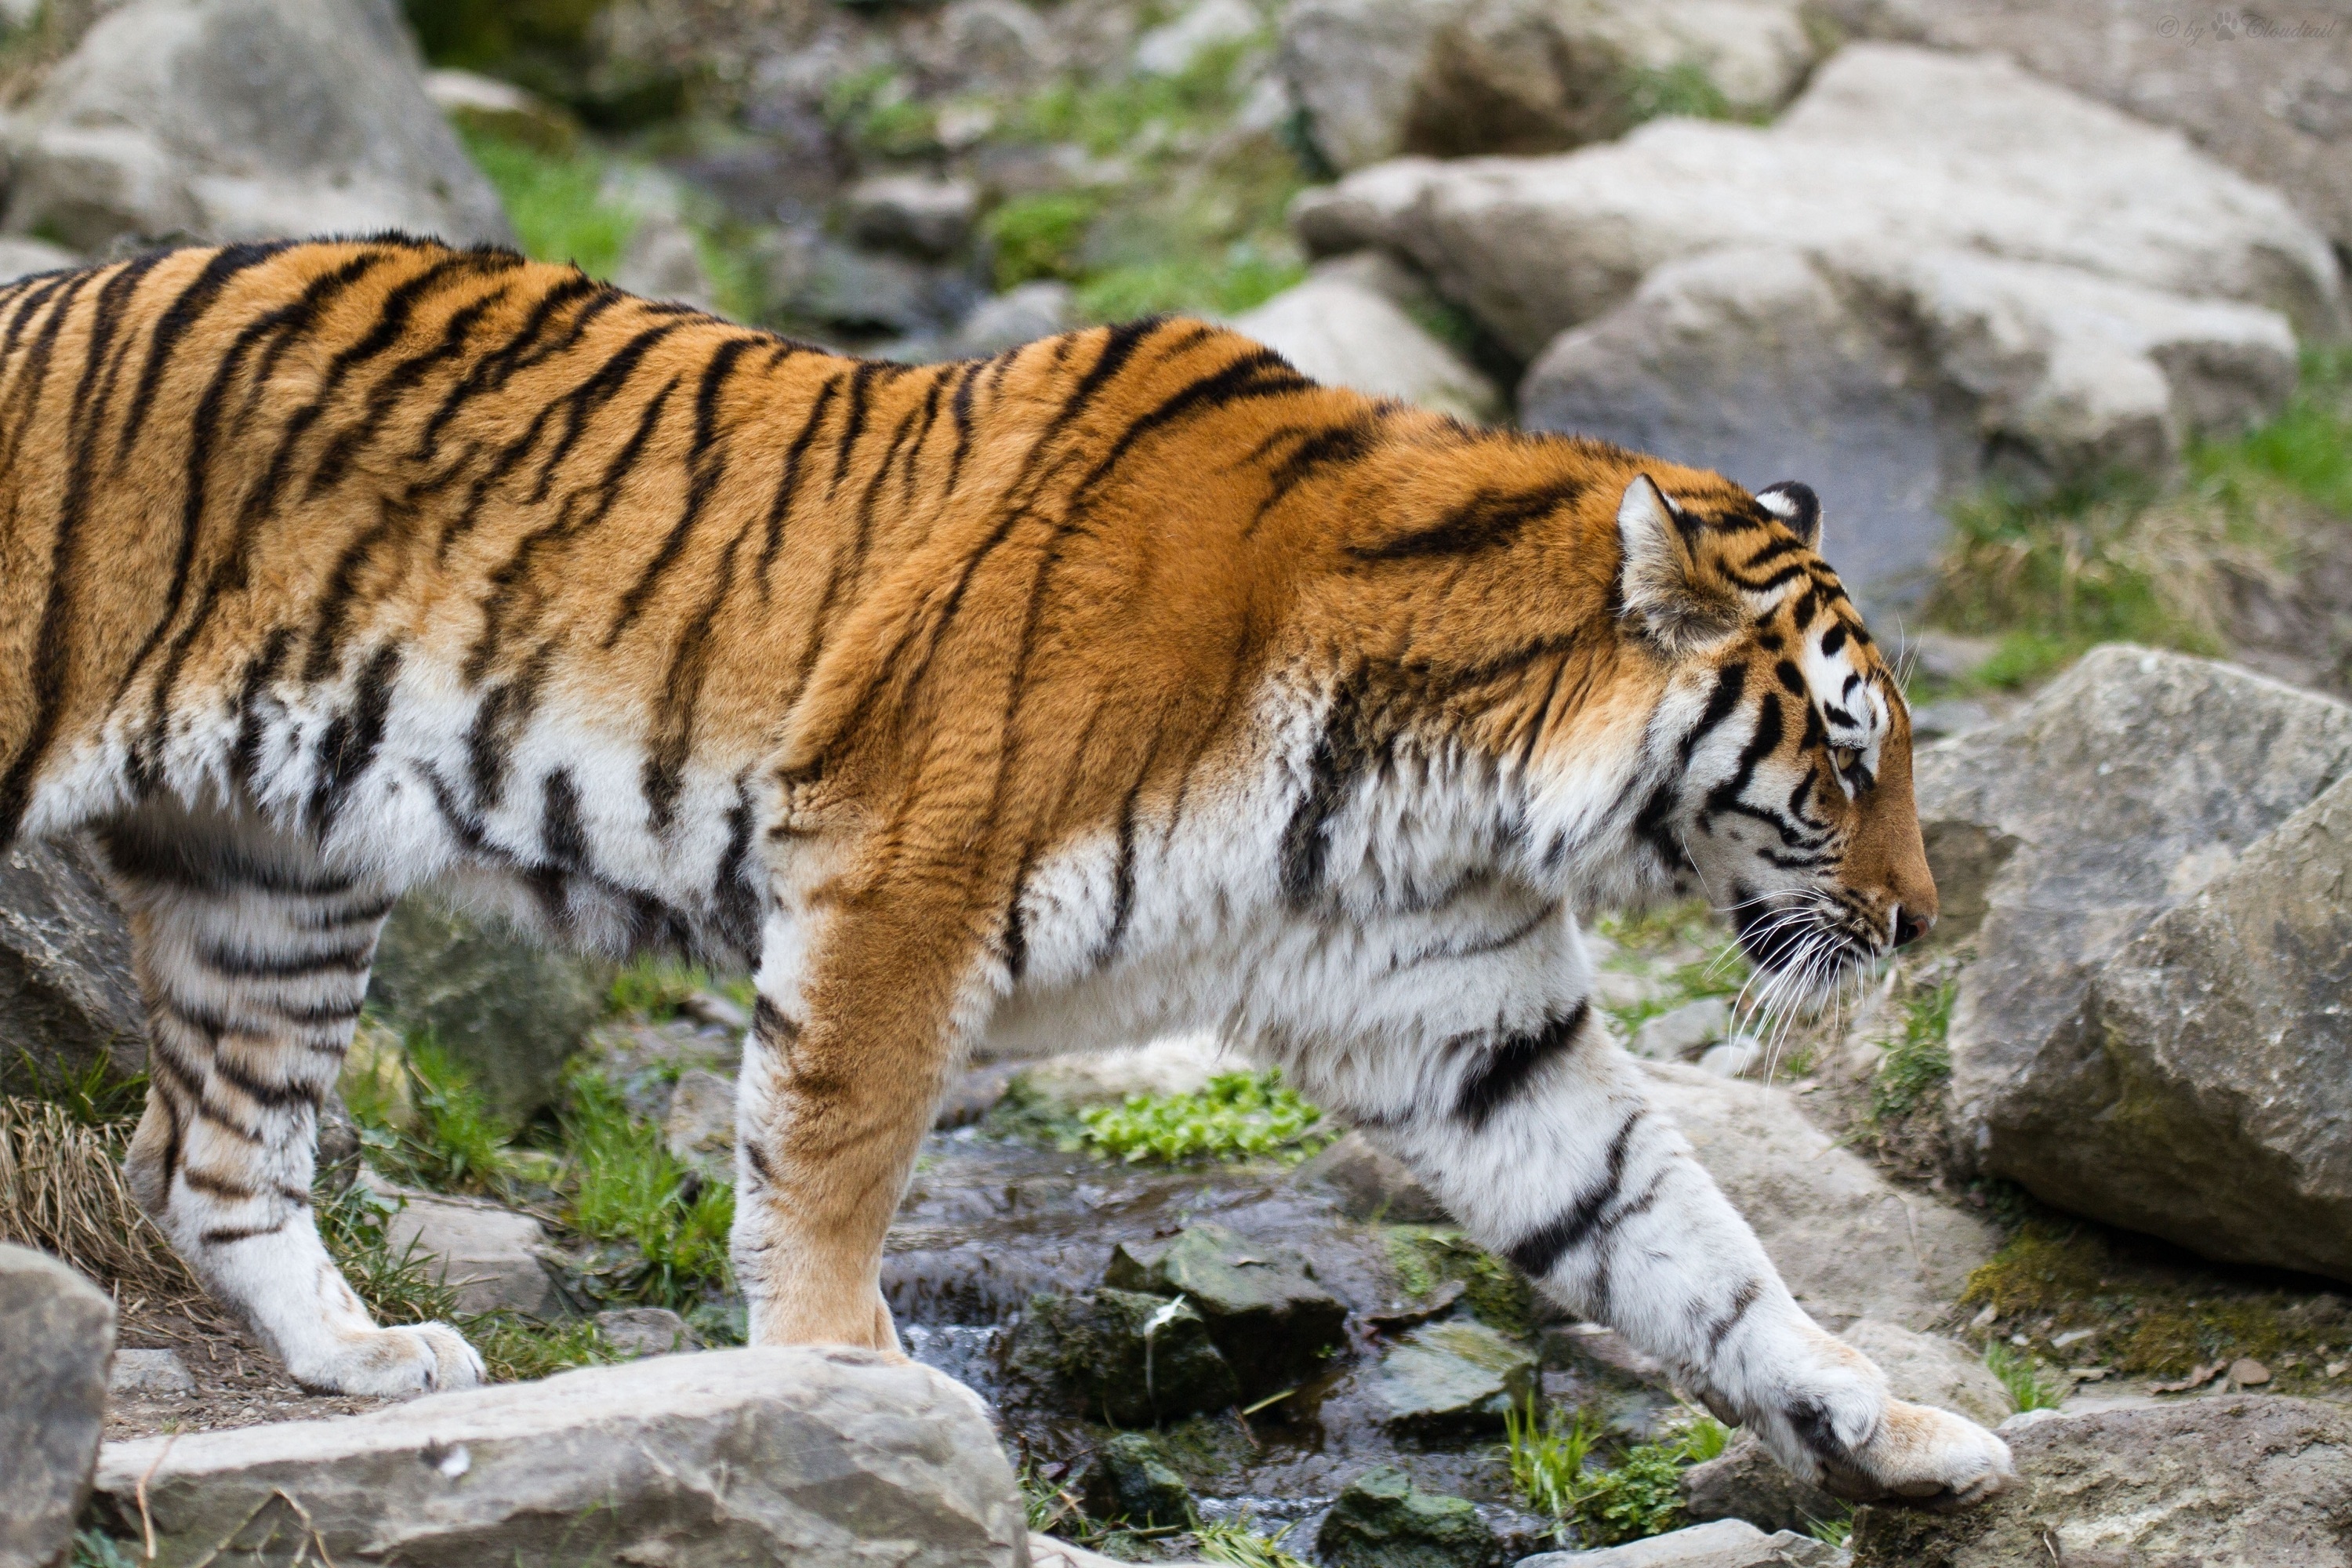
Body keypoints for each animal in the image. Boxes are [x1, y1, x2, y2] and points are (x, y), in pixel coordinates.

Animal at [0, 235, 2010, 1506]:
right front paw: (844, 1384)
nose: (1922, 924)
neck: (1444, 774)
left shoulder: (1469, 1021)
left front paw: (1886, 1425)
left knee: (212, 1164)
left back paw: (363, 1363)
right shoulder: (897, 875)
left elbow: (1685, 1242)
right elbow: (828, 1161)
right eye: (1845, 758)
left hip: (276, 878)